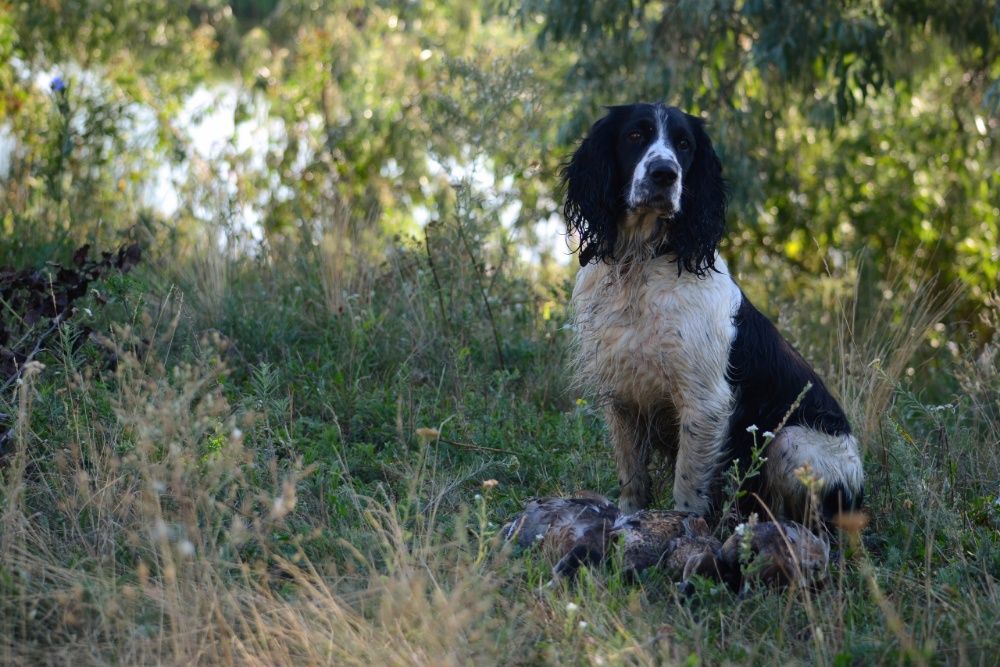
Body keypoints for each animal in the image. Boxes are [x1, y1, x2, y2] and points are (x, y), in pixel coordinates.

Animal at [568, 103, 864, 520]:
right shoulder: (622, 396)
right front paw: (628, 521)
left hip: (789, 440)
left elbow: (687, 488)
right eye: (635, 136)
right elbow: (632, 478)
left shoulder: (705, 402)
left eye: (684, 144)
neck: (641, 264)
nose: (665, 173)